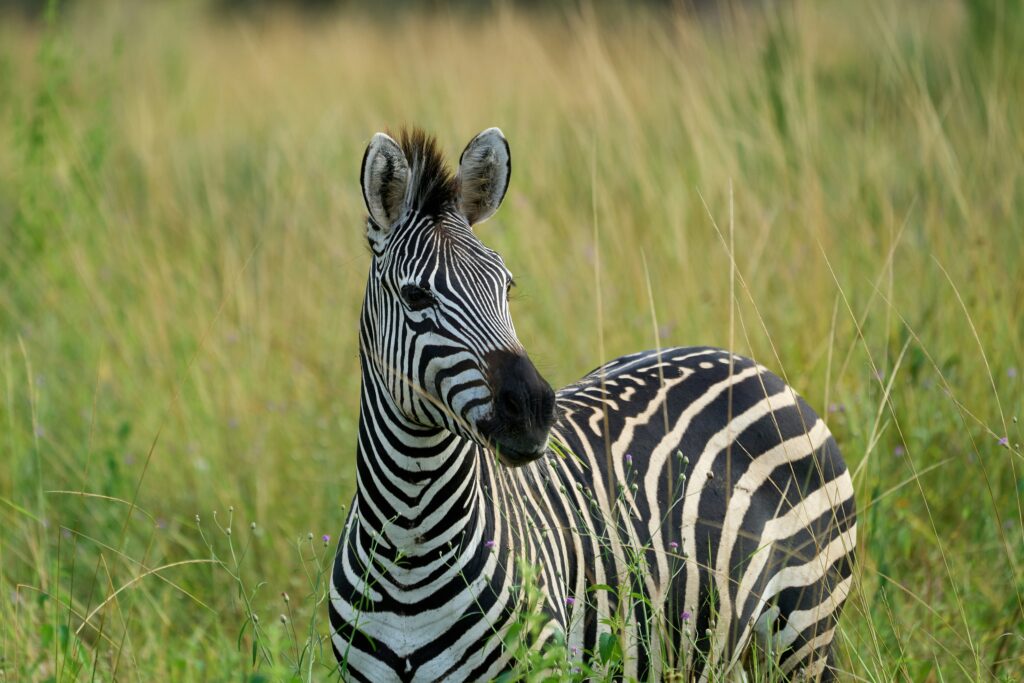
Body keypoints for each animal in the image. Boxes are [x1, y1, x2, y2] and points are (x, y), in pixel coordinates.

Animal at [329, 127, 857, 682]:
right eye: (414, 297)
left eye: (506, 287)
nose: (534, 411)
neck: (410, 540)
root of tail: (746, 363)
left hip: (805, 628)